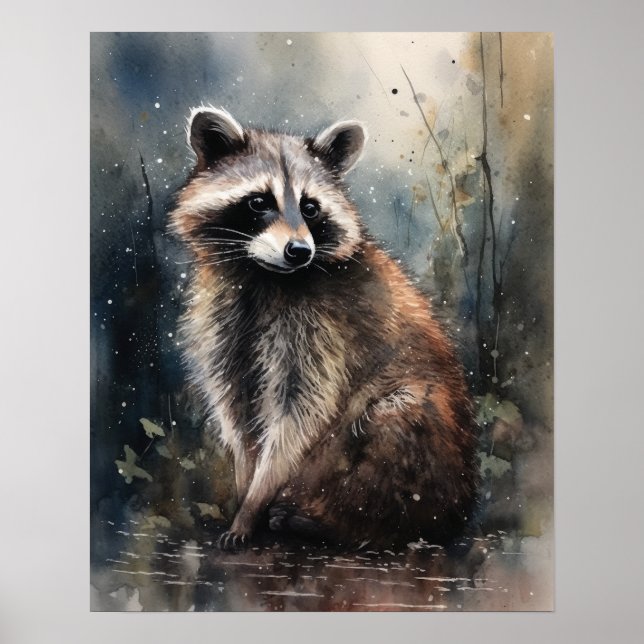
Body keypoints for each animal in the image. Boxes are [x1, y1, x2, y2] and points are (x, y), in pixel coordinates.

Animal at [169, 107, 479, 550]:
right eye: (258, 202)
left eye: (310, 208)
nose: (299, 251)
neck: (262, 275)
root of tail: (460, 504)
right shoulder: (221, 323)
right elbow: (236, 408)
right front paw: (245, 484)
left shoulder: (321, 329)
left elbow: (299, 414)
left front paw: (253, 501)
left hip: (423, 442)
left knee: (394, 423)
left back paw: (345, 524)